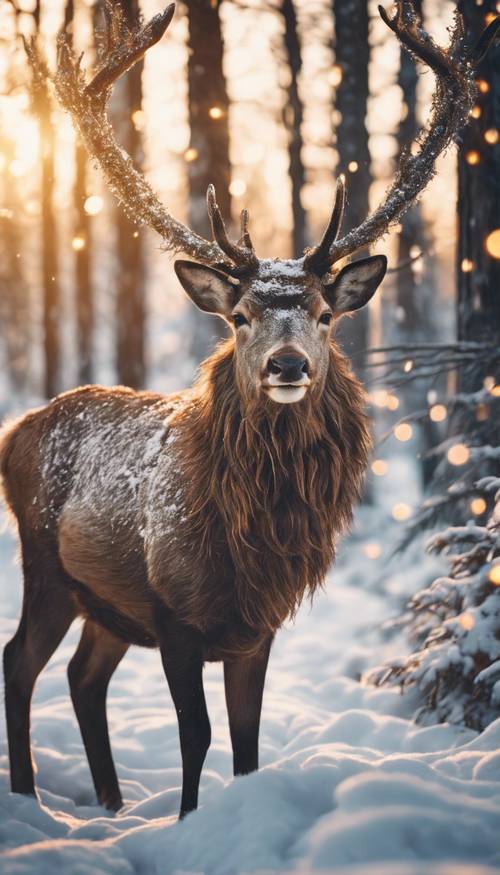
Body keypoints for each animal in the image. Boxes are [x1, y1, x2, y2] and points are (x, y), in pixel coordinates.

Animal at [1, 0, 498, 820]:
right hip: (46, 564)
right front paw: (187, 822)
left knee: (81, 675)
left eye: (326, 313)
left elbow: (246, 742)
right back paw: (30, 797)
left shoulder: (257, 626)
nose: (287, 364)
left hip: (105, 602)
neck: (247, 542)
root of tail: (17, 430)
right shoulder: (172, 610)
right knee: (20, 662)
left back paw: (109, 802)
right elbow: (197, 737)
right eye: (238, 316)